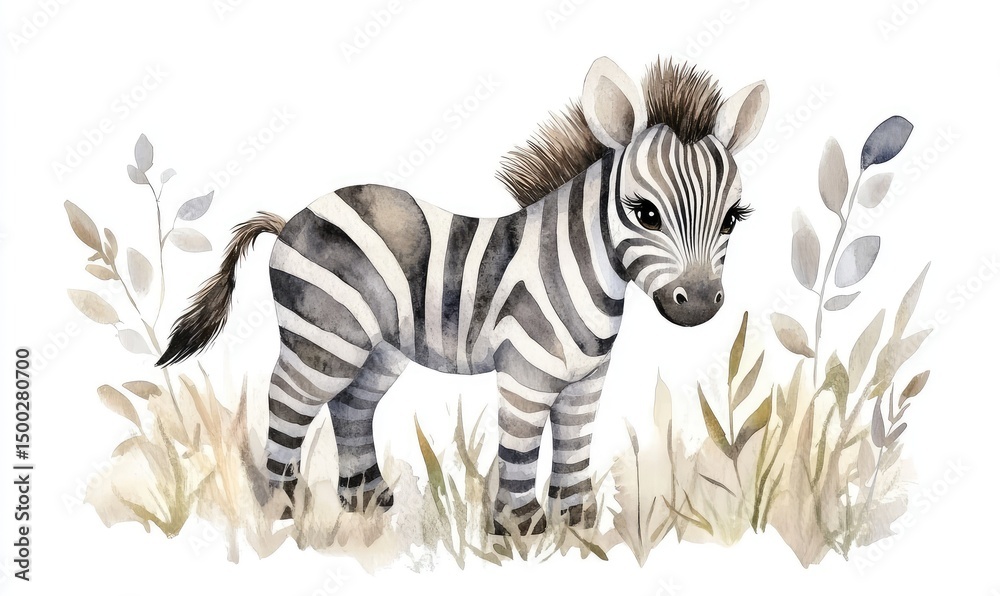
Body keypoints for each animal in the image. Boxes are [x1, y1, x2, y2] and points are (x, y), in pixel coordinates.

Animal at [157, 56, 769, 535]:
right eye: (644, 213)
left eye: (734, 218)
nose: (702, 304)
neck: (582, 271)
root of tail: (290, 219)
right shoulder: (524, 377)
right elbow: (521, 447)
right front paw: (519, 531)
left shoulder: (587, 383)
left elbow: (574, 446)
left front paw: (579, 525)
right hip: (324, 338)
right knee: (287, 399)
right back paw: (281, 511)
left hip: (382, 349)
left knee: (352, 405)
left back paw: (366, 500)